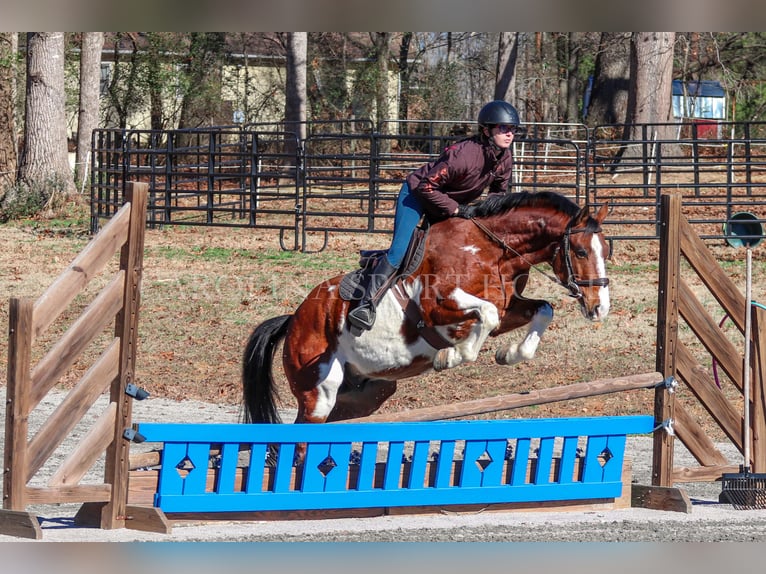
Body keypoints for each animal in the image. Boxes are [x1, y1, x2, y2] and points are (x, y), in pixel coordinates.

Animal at [243, 190, 616, 436]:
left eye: (606, 250)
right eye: (580, 251)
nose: (599, 308)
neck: (491, 249)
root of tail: (293, 321)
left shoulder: (509, 306)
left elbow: (540, 310)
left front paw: (508, 354)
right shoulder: (436, 304)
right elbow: (485, 315)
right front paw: (452, 356)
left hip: (362, 396)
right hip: (317, 393)